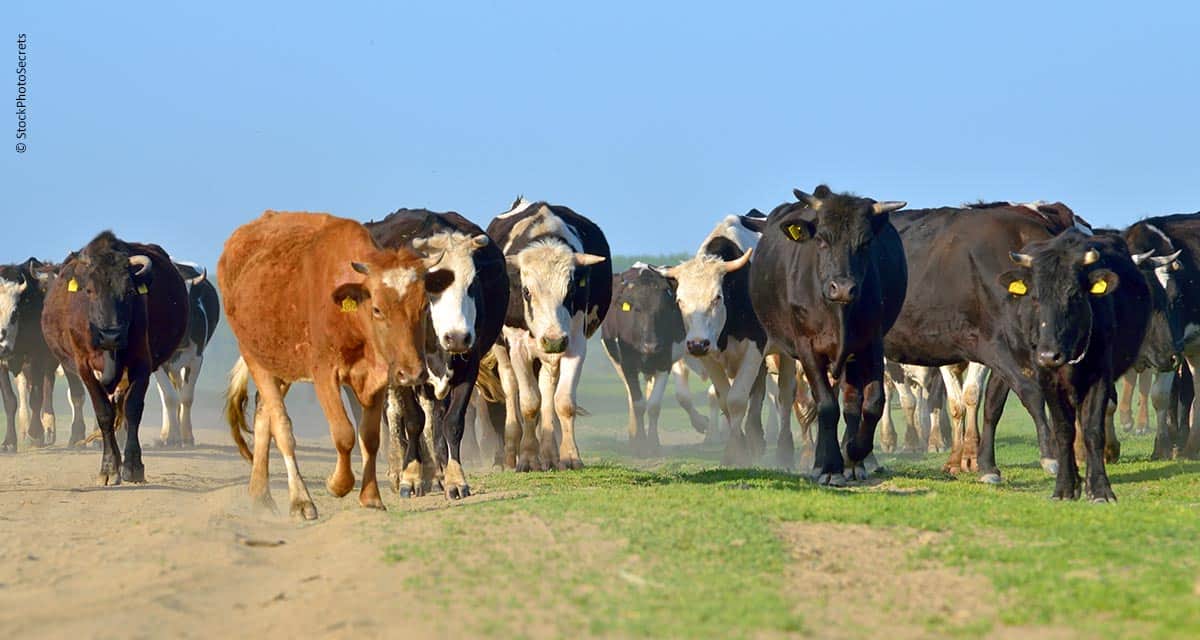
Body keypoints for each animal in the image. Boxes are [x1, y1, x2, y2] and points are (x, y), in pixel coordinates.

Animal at [39, 230, 188, 485]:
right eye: (89, 290)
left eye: (129, 292)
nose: (111, 335)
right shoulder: (84, 367)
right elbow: (104, 413)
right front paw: (109, 468)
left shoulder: (141, 363)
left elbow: (132, 410)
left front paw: (133, 466)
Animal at [223, 211, 434, 518]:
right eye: (377, 309)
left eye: (424, 306)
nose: (412, 373)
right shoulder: (325, 375)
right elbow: (344, 434)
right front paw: (338, 484)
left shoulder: (376, 378)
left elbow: (370, 437)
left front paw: (371, 497)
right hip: (253, 357)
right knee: (282, 426)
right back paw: (301, 500)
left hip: (279, 363)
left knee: (264, 416)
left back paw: (260, 494)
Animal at [487, 194, 614, 468]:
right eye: (526, 291)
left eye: (572, 289)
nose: (553, 340)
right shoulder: (518, 345)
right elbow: (529, 403)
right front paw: (527, 457)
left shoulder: (575, 342)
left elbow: (562, 401)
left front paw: (569, 456)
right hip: (503, 350)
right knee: (511, 388)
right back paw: (511, 454)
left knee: (547, 388)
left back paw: (549, 453)